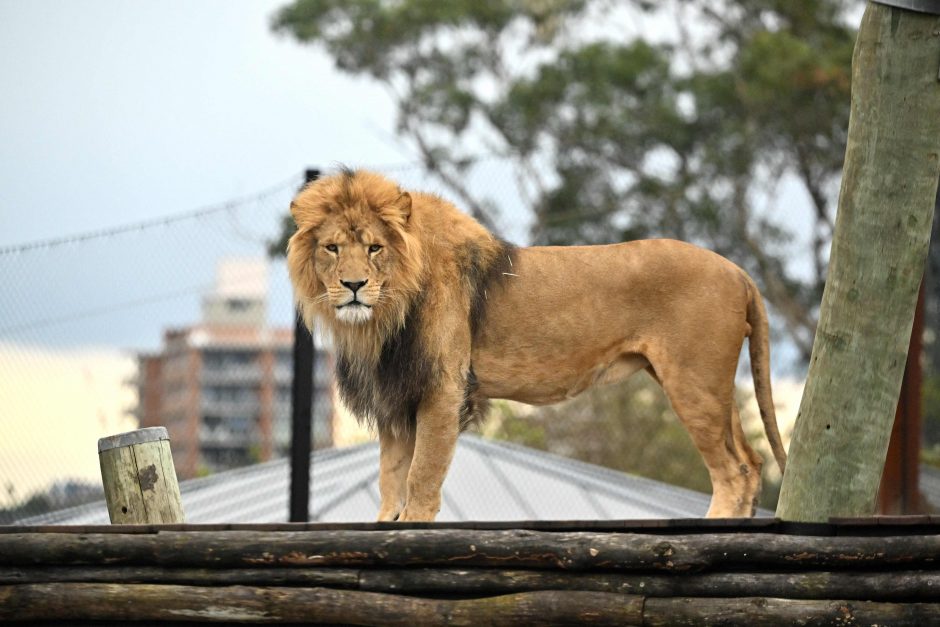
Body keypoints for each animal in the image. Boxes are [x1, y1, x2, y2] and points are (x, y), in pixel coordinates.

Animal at [286, 169, 784, 524]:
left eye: (374, 248)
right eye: (332, 248)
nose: (353, 286)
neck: (383, 318)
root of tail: (738, 271)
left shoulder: (442, 389)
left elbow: (421, 476)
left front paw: (411, 529)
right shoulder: (396, 395)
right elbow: (391, 477)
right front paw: (386, 523)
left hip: (692, 381)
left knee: (734, 470)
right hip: (712, 386)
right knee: (752, 461)